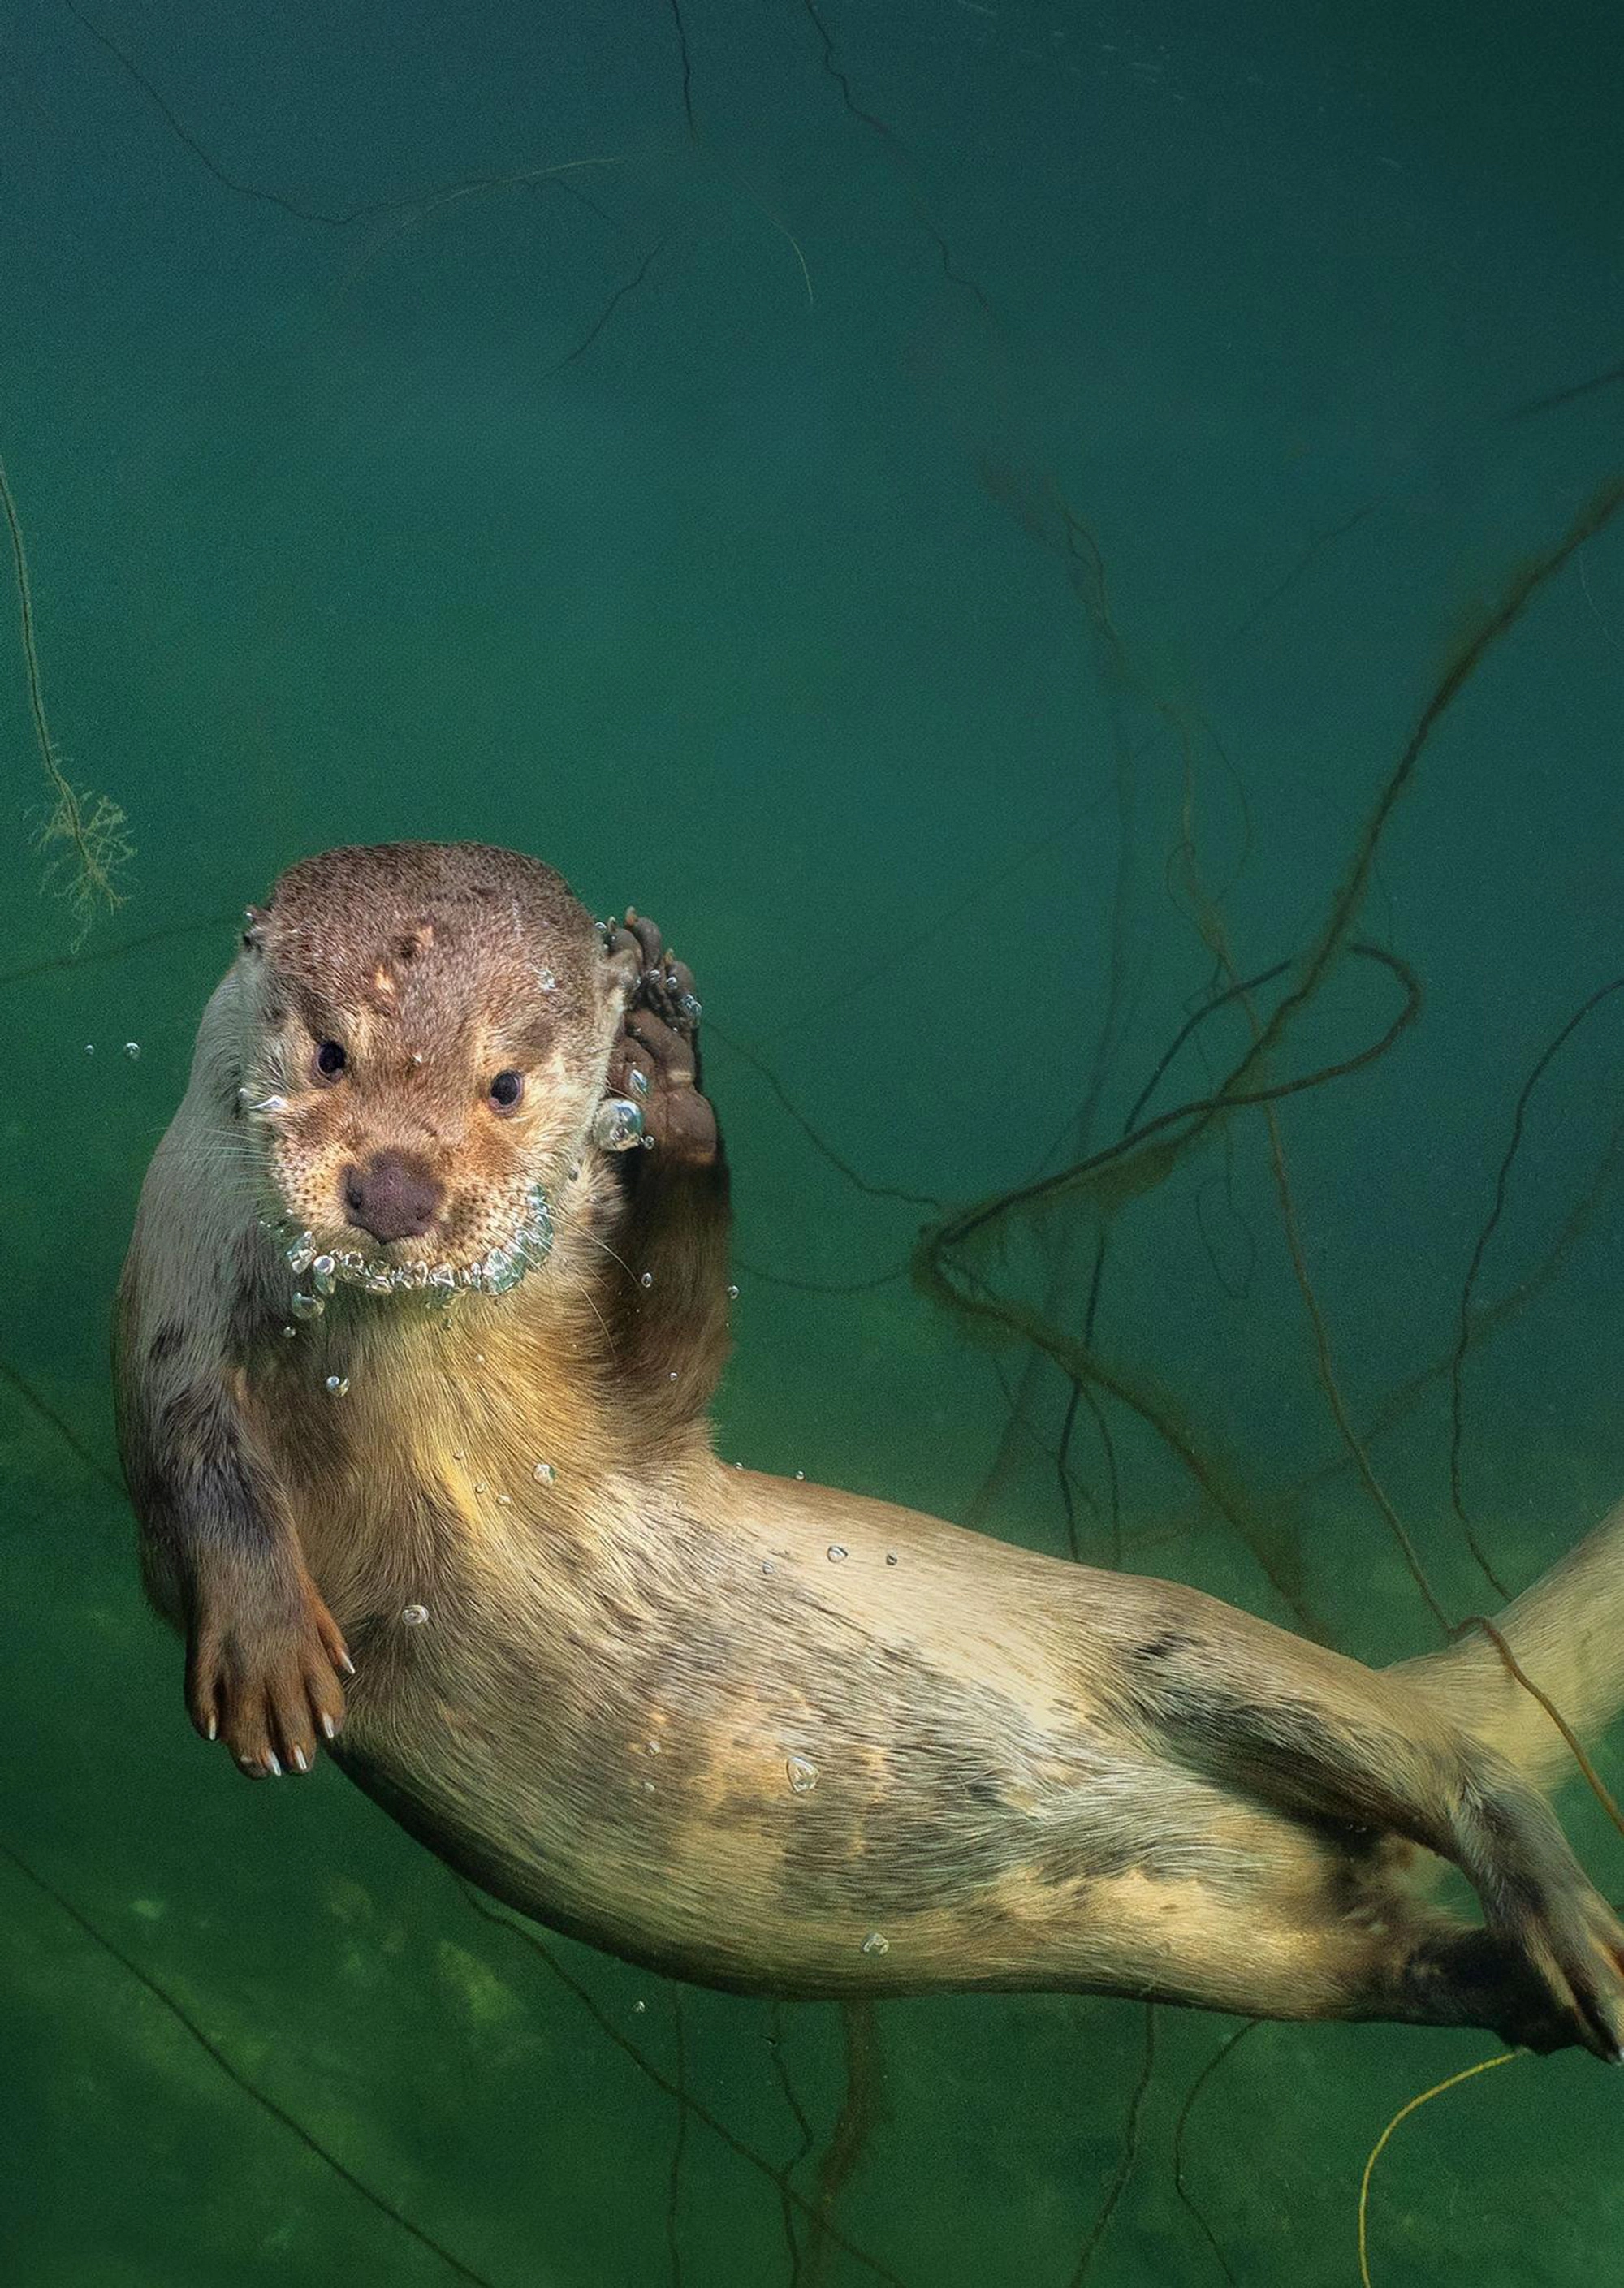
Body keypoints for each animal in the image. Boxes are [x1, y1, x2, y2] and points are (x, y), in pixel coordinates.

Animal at [114, 841, 1624, 2059]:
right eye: (329, 1053)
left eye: (506, 1083)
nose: (394, 1185)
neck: (422, 1400)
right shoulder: (171, 1309)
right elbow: (197, 1467)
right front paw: (267, 1647)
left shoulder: (626, 1425)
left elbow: (677, 1355)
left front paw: (673, 1091)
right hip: (1255, 1953)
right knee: (1374, 1945)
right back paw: (1522, 1991)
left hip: (1187, 1649)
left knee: (1447, 1760)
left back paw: (1568, 1926)